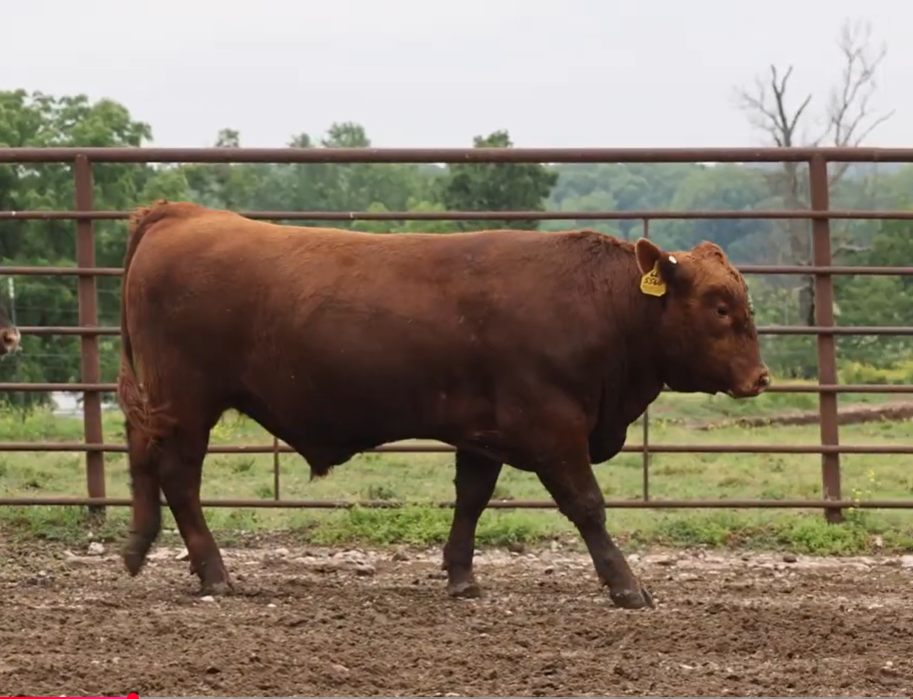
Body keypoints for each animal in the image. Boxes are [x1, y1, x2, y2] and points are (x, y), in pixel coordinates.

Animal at [117, 200, 769, 610]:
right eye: (718, 306)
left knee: (144, 457)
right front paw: (627, 587)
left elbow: (471, 500)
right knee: (179, 478)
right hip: (187, 403)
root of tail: (179, 213)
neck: (598, 303)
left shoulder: (483, 434)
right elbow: (588, 507)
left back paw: (138, 548)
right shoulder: (553, 429)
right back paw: (214, 574)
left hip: (163, 402)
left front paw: (461, 577)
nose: (759, 377)